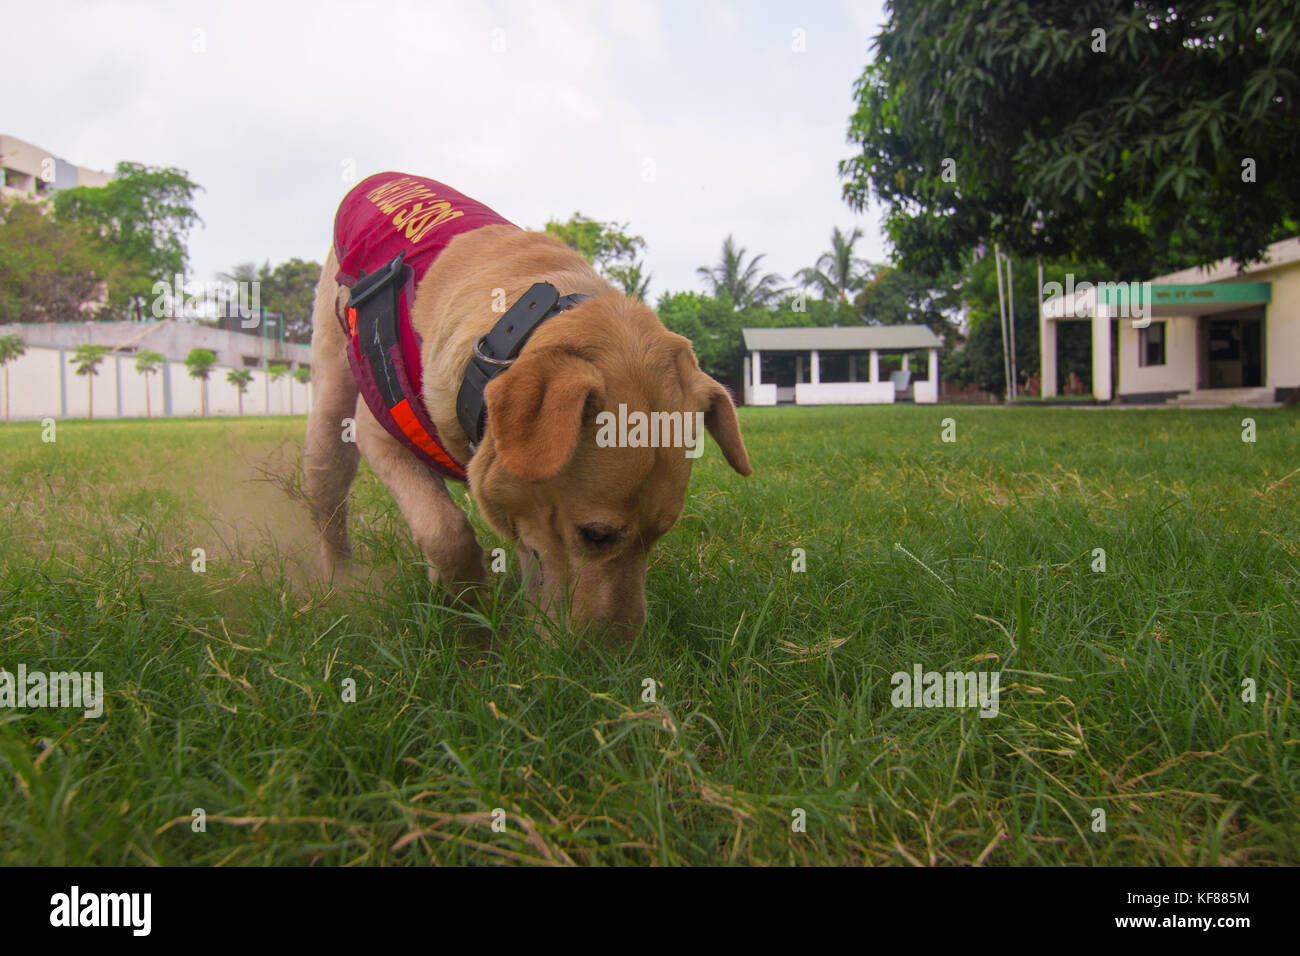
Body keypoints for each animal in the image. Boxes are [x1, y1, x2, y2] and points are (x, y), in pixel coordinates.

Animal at [304, 175, 754, 647]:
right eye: (595, 535)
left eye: (661, 533)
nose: (617, 659)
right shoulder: (382, 433)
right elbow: (446, 532)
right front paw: (471, 626)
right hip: (331, 413)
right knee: (329, 502)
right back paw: (339, 584)